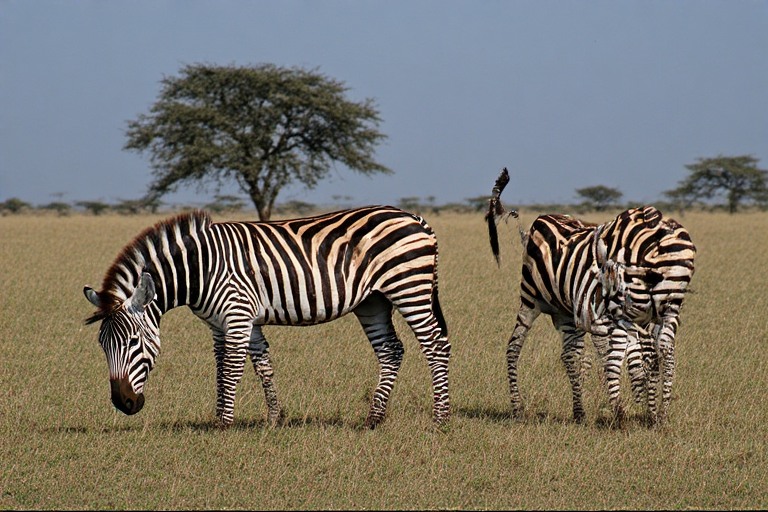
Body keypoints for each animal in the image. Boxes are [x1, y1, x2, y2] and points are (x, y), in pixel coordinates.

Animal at [83, 206, 451, 428]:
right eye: (102, 345)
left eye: (133, 341)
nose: (123, 404)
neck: (200, 269)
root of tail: (414, 218)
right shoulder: (224, 322)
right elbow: (252, 365)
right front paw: (273, 418)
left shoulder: (237, 313)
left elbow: (232, 369)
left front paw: (224, 425)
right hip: (373, 301)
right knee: (391, 351)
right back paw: (374, 419)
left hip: (409, 288)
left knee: (435, 346)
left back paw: (440, 418)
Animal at [486, 168, 696, 424]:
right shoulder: (575, 314)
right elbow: (580, 356)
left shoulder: (540, 303)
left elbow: (525, 349)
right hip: (666, 304)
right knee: (660, 348)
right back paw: (658, 413)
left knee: (622, 351)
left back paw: (622, 411)